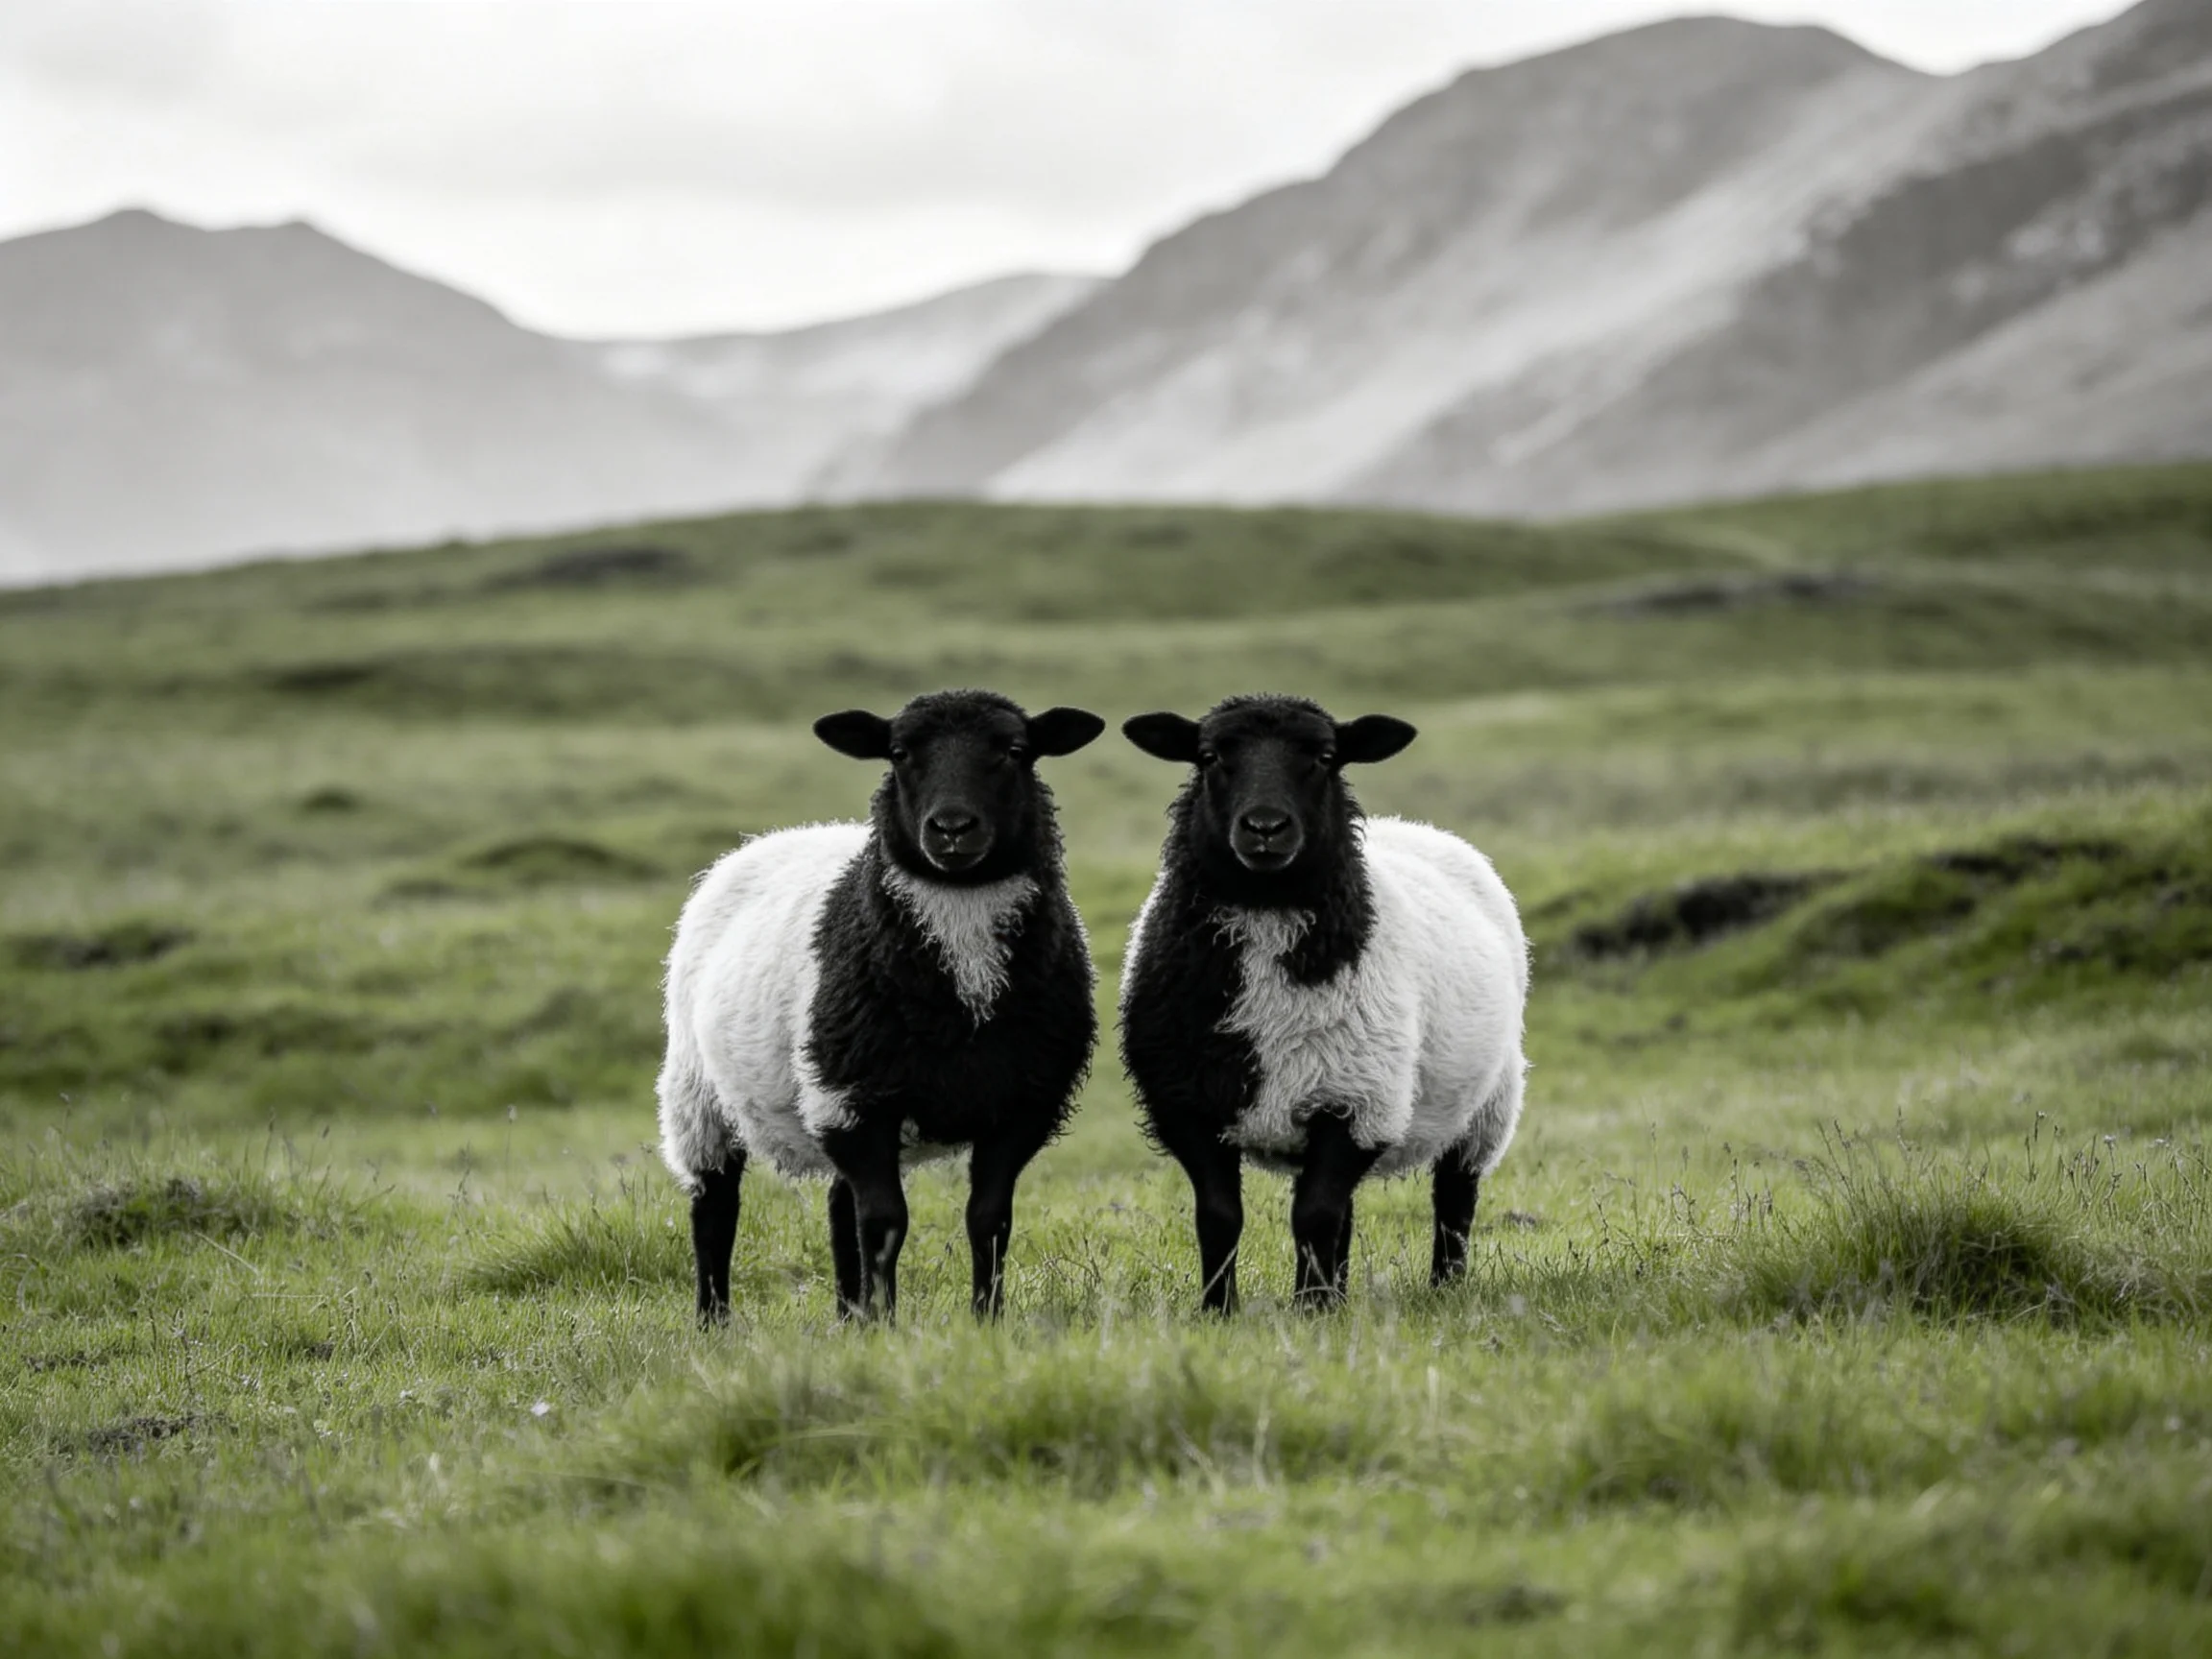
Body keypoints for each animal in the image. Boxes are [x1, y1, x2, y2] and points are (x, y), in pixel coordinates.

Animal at [658, 689, 1104, 1325]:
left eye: (1015, 751)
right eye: (899, 753)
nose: (951, 828)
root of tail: (779, 835)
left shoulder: (1023, 1104)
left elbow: (988, 1221)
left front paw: (984, 1320)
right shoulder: (855, 1100)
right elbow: (885, 1223)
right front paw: (886, 1327)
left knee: (839, 1206)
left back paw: (849, 1316)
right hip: (699, 1090)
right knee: (715, 1206)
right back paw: (714, 1322)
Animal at [1117, 694, 1528, 1312]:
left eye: (1325, 758)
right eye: (1210, 756)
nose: (1265, 827)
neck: (1266, 910)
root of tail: (1412, 827)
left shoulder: (1356, 1104)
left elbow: (1313, 1215)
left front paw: (1310, 1308)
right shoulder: (1188, 1104)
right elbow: (1220, 1216)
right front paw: (1219, 1309)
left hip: (1486, 1103)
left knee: (1454, 1199)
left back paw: (1443, 1286)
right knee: (1350, 1212)